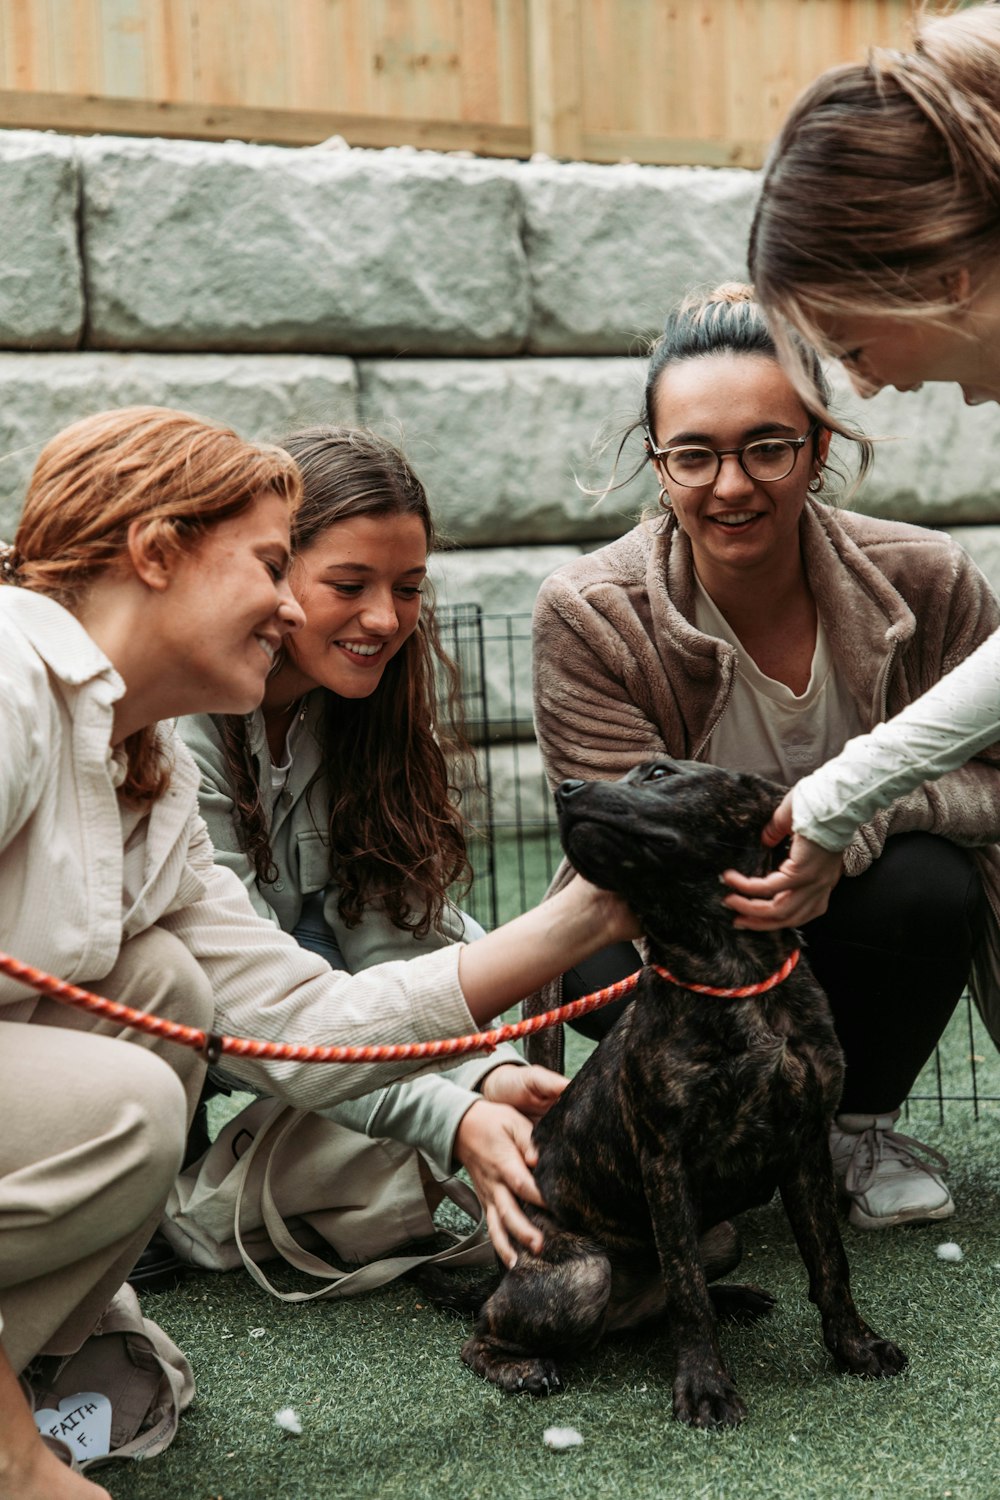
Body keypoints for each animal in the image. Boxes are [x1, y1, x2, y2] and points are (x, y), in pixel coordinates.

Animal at [461, 762, 905, 1428]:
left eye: (660, 773)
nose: (564, 791)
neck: (733, 971)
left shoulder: (806, 1147)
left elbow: (830, 1262)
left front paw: (856, 1347)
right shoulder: (664, 1162)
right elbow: (686, 1289)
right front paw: (704, 1387)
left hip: (721, 1234)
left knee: (667, 1300)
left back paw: (733, 1298)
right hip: (582, 1273)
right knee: (482, 1337)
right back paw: (522, 1367)